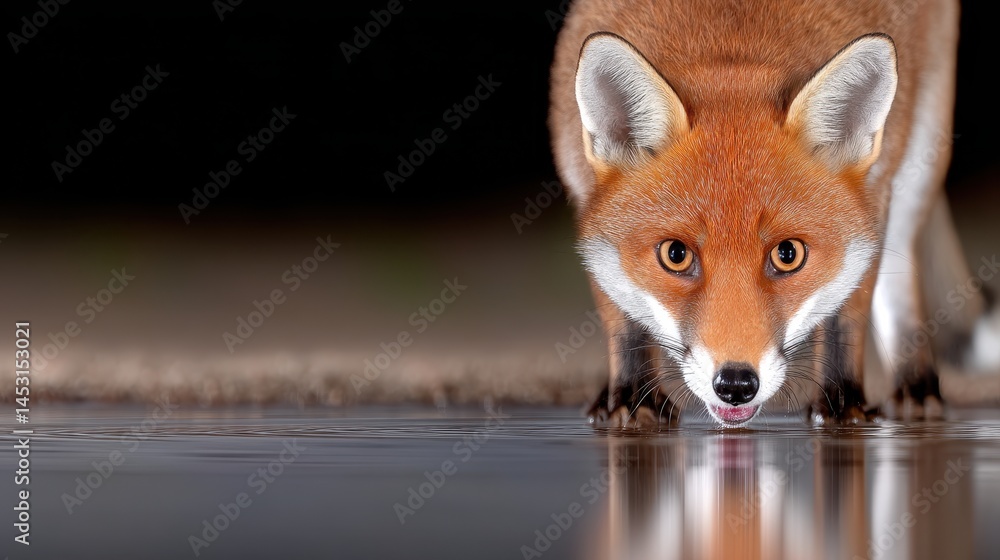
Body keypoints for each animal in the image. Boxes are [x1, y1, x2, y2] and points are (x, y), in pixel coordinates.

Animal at [549, 0, 1000, 427]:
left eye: (788, 255)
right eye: (675, 255)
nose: (735, 385)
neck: (729, 41)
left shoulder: (874, 199)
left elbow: (847, 313)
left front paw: (841, 403)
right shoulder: (585, 196)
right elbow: (622, 318)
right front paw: (633, 397)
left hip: (920, 158)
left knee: (901, 281)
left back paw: (916, 387)